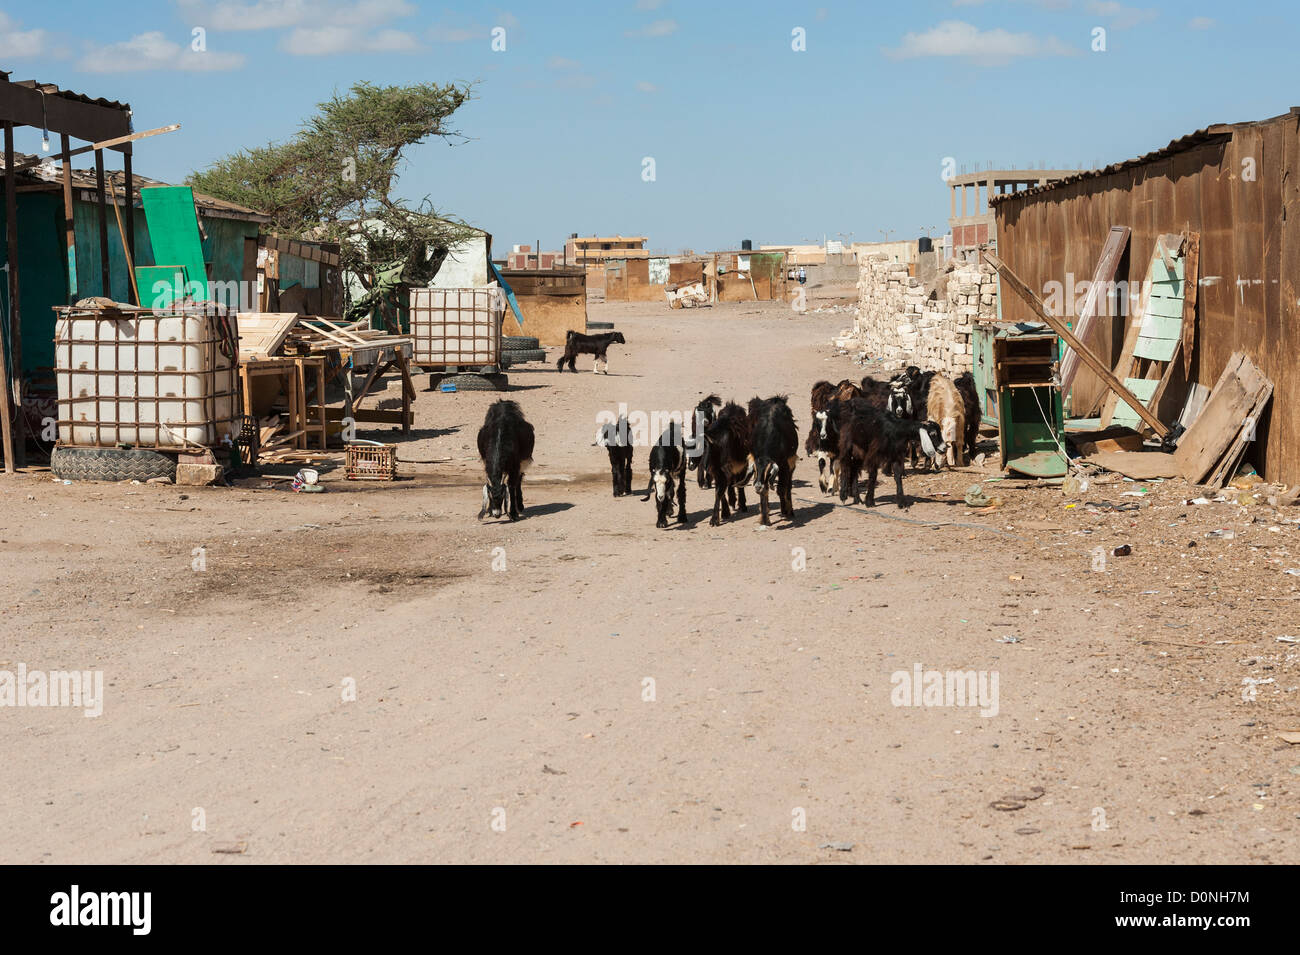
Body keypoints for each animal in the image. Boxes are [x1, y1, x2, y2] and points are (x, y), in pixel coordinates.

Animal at [748, 394, 795, 530]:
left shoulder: (785, 464)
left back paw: (789, 511)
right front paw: (764, 519)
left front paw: (786, 511)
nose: (757, 486)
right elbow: (765, 491)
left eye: (769, 472)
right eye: (755, 470)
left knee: (787, 486)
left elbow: (782, 488)